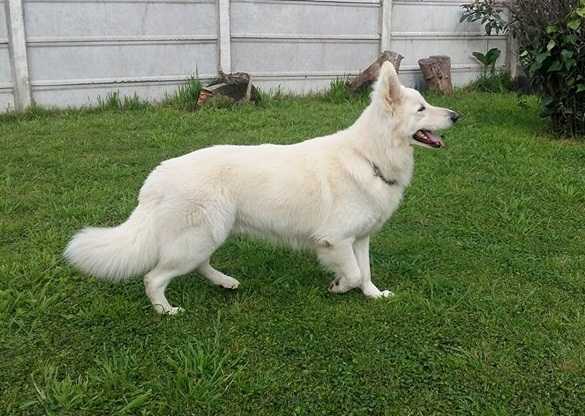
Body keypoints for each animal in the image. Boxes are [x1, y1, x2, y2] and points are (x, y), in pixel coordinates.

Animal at [64, 62, 458, 316]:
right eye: (422, 108)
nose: (457, 116)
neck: (369, 157)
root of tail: (158, 175)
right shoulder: (335, 240)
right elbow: (354, 273)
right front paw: (338, 287)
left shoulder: (359, 239)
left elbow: (367, 272)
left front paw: (373, 296)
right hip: (199, 238)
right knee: (154, 276)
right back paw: (166, 310)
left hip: (208, 235)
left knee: (197, 265)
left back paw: (224, 282)